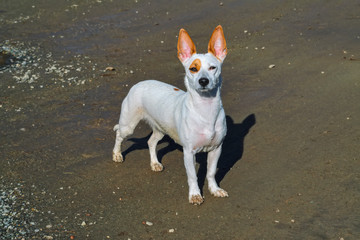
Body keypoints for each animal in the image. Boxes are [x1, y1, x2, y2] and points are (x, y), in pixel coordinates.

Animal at [112, 25, 228, 204]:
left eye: (212, 68)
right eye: (193, 69)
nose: (203, 81)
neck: (205, 111)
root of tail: (140, 83)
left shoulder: (216, 149)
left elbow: (211, 172)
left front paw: (214, 189)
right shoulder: (189, 152)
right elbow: (193, 176)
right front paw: (195, 195)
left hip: (161, 129)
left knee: (151, 142)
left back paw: (154, 163)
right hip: (128, 125)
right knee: (119, 134)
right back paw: (117, 155)